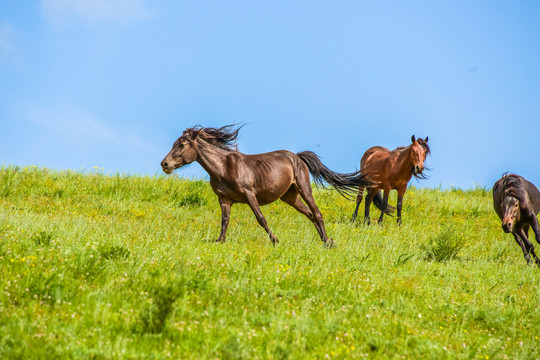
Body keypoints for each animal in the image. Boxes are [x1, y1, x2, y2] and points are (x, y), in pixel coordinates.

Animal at [160, 125, 372, 246]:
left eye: (182, 144)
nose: (165, 164)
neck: (223, 168)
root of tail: (297, 156)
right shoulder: (224, 199)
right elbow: (224, 220)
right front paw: (219, 241)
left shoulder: (249, 194)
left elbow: (260, 218)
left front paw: (275, 240)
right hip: (290, 197)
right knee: (310, 215)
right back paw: (326, 241)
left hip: (304, 188)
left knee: (317, 213)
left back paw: (328, 242)